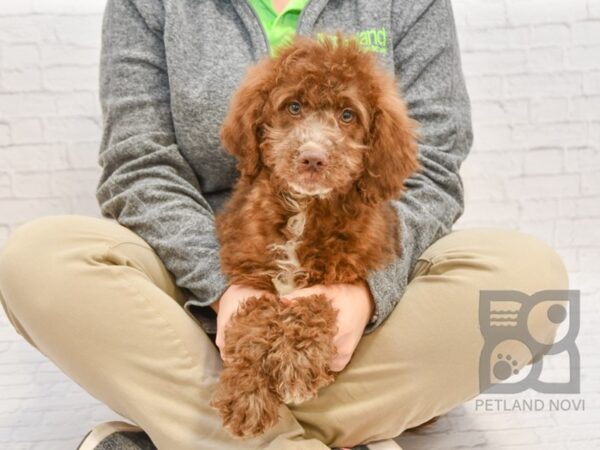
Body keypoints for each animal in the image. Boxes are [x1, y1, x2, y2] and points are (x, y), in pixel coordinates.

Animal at [209, 35, 420, 440]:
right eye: (293, 107)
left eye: (348, 115)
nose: (312, 158)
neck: (304, 209)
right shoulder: (250, 267)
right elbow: (252, 315)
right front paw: (247, 394)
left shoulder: (349, 270)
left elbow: (316, 304)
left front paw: (296, 365)